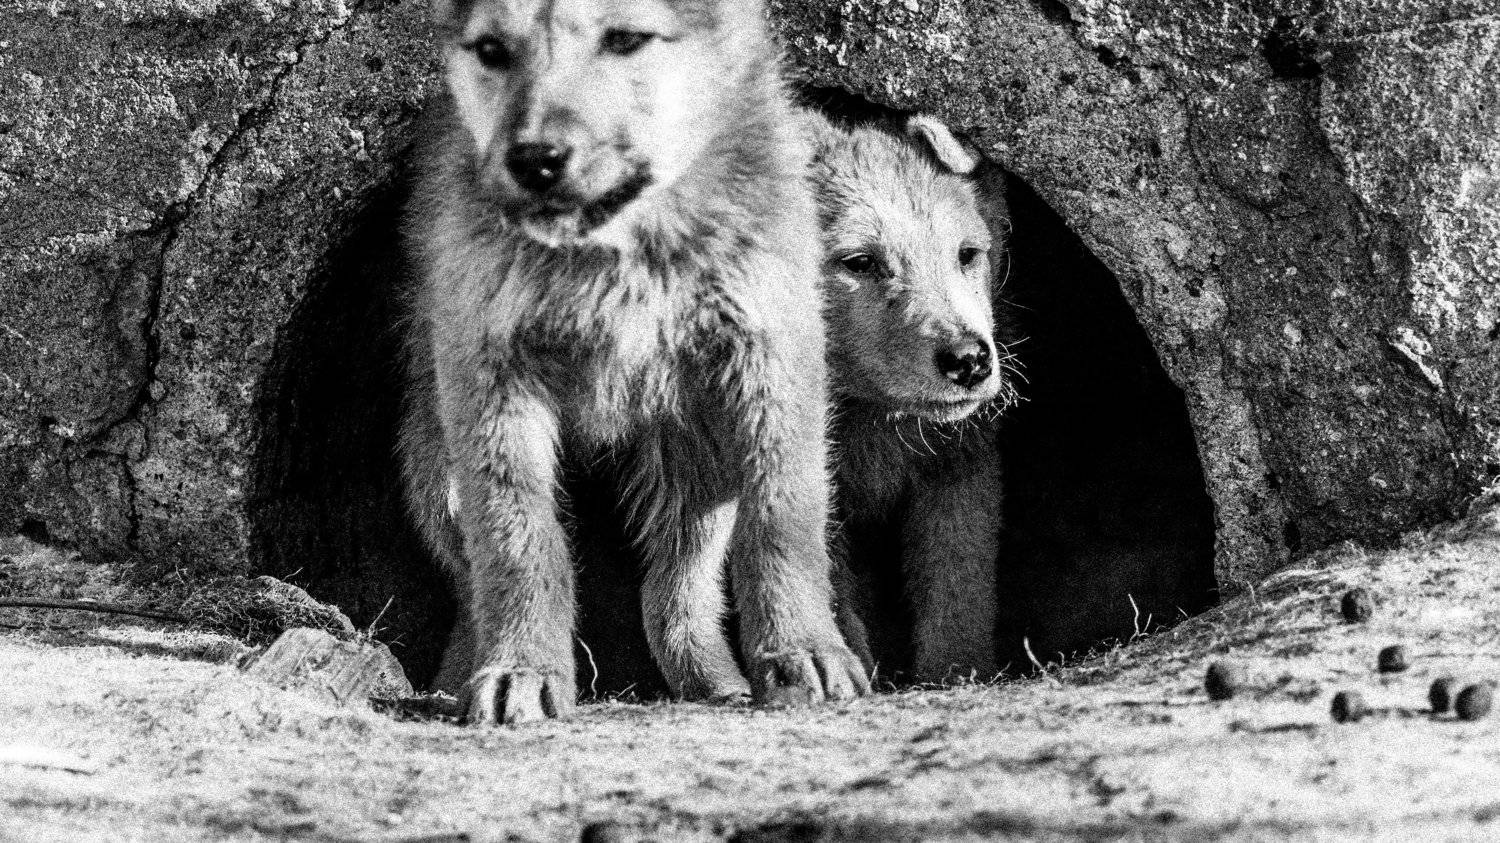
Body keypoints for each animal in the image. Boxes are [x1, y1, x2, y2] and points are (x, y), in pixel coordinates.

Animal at [398, 0, 868, 724]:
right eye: (492, 51)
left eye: (624, 39)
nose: (535, 159)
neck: (619, 253)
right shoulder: (492, 376)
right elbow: (518, 543)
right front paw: (522, 670)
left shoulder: (771, 358)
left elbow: (781, 521)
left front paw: (802, 651)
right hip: (437, 466)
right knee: (478, 580)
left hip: (696, 462)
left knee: (676, 589)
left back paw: (716, 681)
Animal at [805, 110, 1015, 683]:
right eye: (859, 261)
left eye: (968, 254)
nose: (969, 359)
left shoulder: (961, 458)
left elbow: (959, 577)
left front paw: (955, 671)